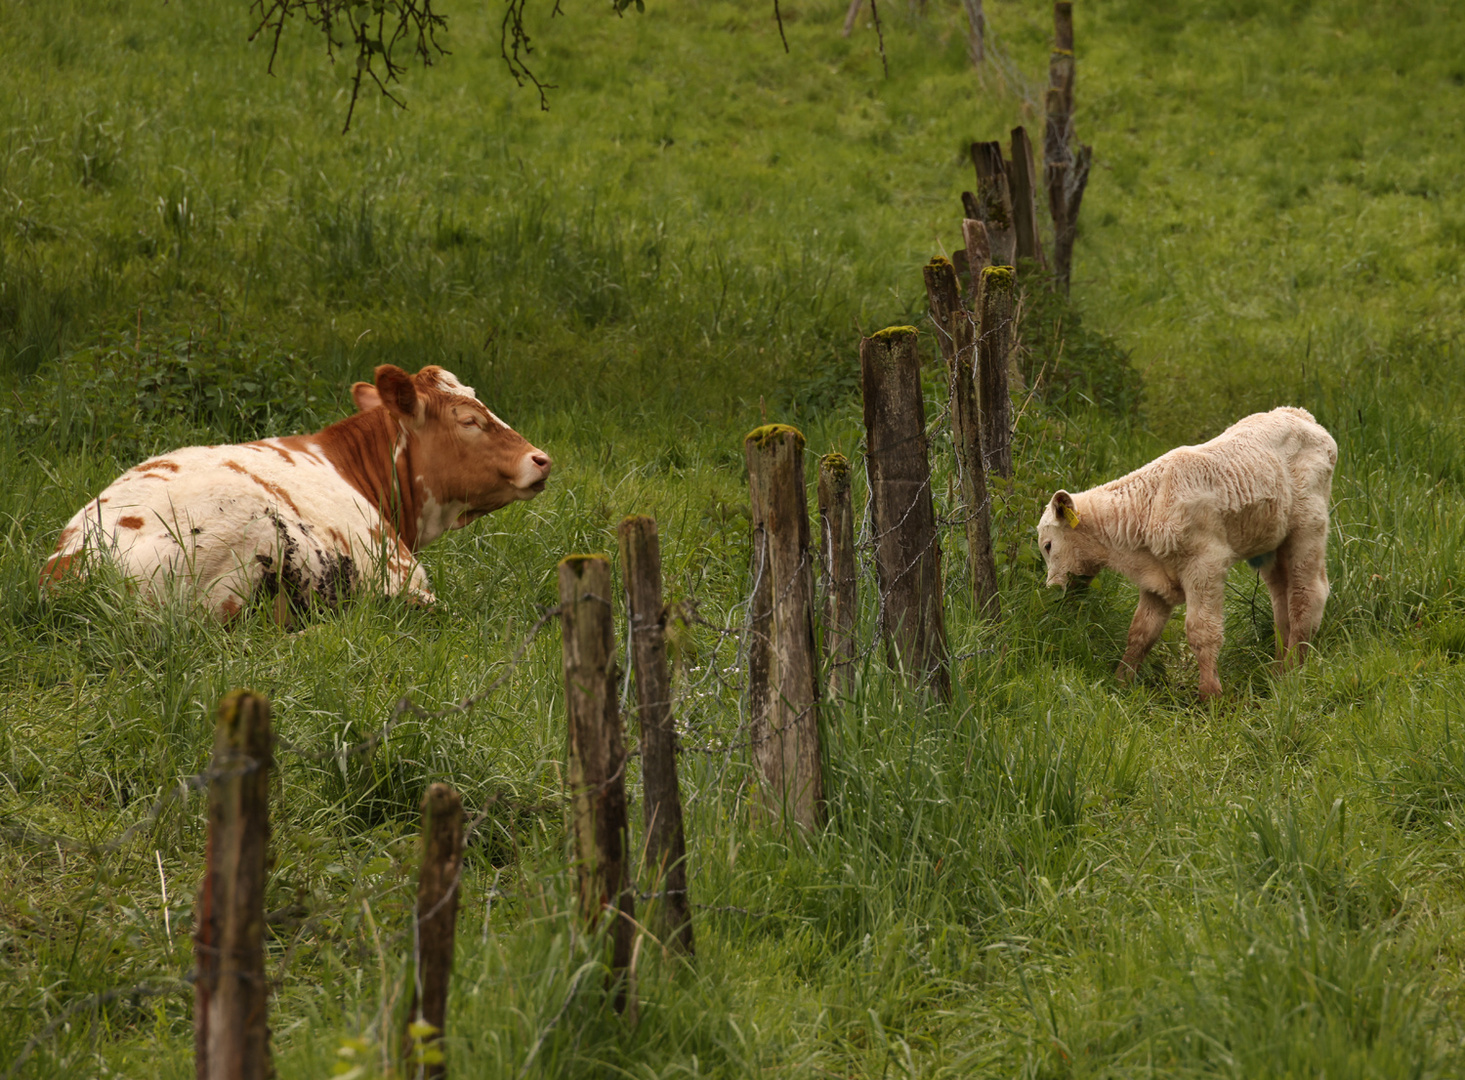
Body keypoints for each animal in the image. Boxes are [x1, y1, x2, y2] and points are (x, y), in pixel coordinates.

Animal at [1037, 407, 1336, 700]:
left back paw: (1293, 675)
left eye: (1048, 545)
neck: (1148, 507)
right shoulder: (1155, 580)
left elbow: (1201, 631)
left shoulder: (1206, 564)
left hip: (1307, 529)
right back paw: (1277, 673)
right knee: (1281, 602)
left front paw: (1211, 697)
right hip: (1272, 545)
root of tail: (1300, 414)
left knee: (1306, 596)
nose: (1052, 588)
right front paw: (1121, 683)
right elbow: (1140, 632)